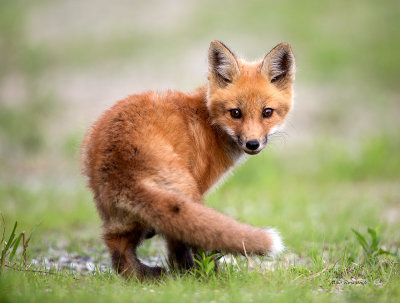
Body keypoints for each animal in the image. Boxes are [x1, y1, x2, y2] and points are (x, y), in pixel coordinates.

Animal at [81, 40, 296, 280]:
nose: (252, 144)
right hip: (188, 195)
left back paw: (150, 275)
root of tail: (123, 167)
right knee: (190, 242)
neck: (208, 121)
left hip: (120, 218)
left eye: (267, 112)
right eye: (235, 113)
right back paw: (205, 275)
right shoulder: (200, 185)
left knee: (118, 251)